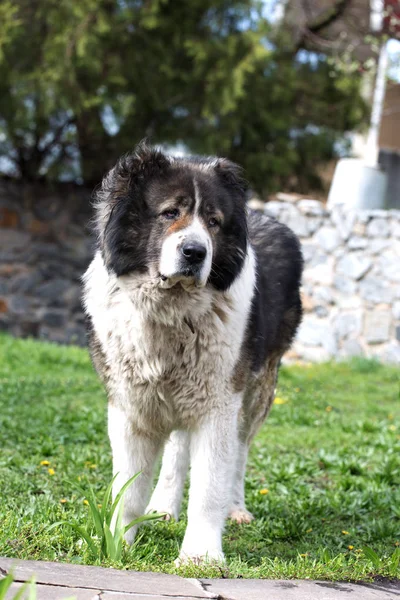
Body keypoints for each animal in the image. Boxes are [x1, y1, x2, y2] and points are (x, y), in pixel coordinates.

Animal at [84, 143, 304, 564]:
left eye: (214, 222)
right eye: (170, 212)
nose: (195, 251)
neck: (170, 312)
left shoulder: (219, 404)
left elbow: (210, 483)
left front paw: (201, 555)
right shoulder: (130, 407)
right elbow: (129, 488)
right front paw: (118, 543)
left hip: (257, 390)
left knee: (239, 453)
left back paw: (236, 508)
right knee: (177, 451)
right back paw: (163, 507)